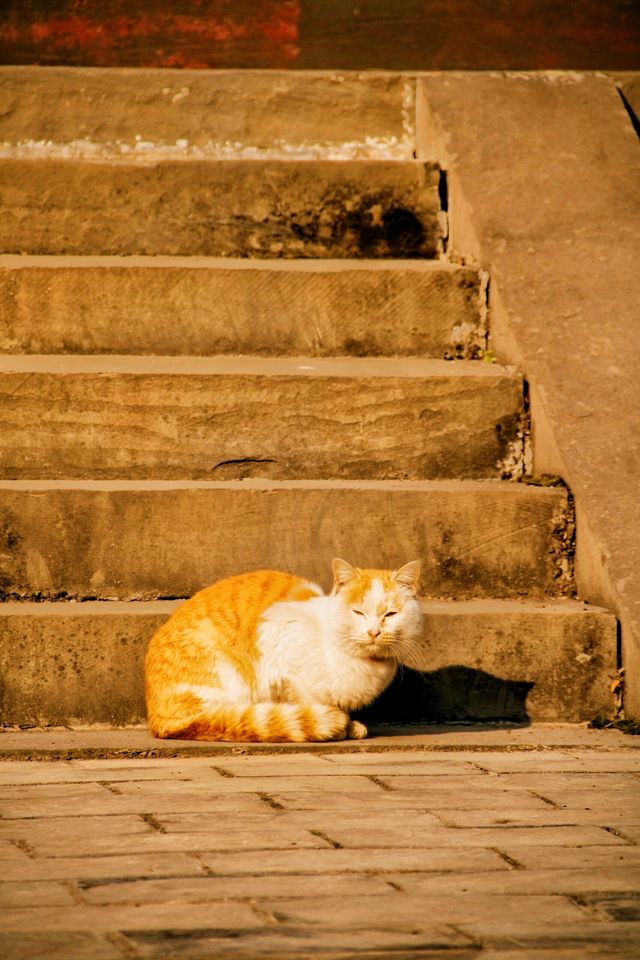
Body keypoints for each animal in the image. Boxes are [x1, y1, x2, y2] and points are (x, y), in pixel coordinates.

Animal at [146, 560, 424, 748]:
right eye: (358, 612)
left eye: (391, 614)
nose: (374, 632)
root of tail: (157, 719)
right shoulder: (283, 656)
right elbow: (305, 702)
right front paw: (339, 725)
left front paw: (350, 725)